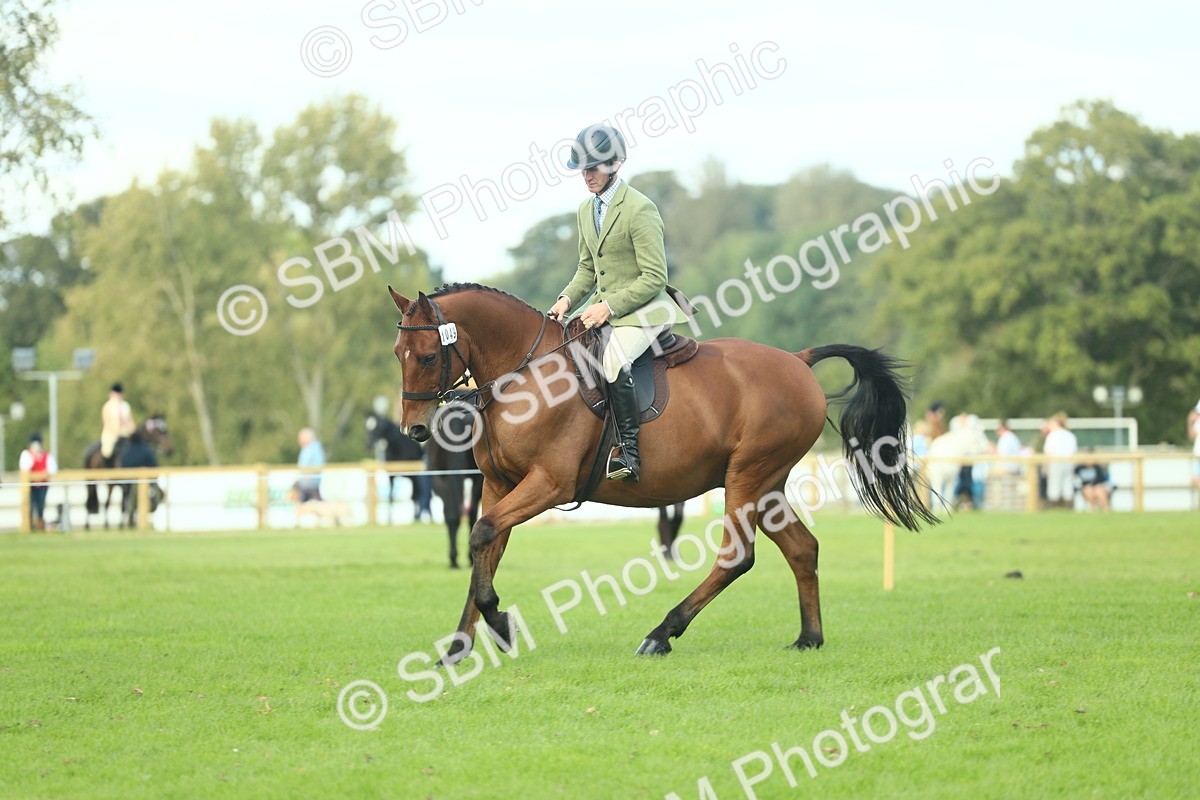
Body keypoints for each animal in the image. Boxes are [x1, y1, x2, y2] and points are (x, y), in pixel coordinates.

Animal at [388, 283, 936, 662]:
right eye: (399, 355)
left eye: (429, 356)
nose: (415, 429)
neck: (525, 378)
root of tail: (798, 361)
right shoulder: (499, 487)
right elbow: (486, 548)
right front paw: (459, 648)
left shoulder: (548, 485)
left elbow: (483, 536)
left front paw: (500, 625)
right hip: (767, 485)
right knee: (802, 549)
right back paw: (809, 637)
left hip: (746, 477)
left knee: (736, 557)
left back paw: (661, 633)